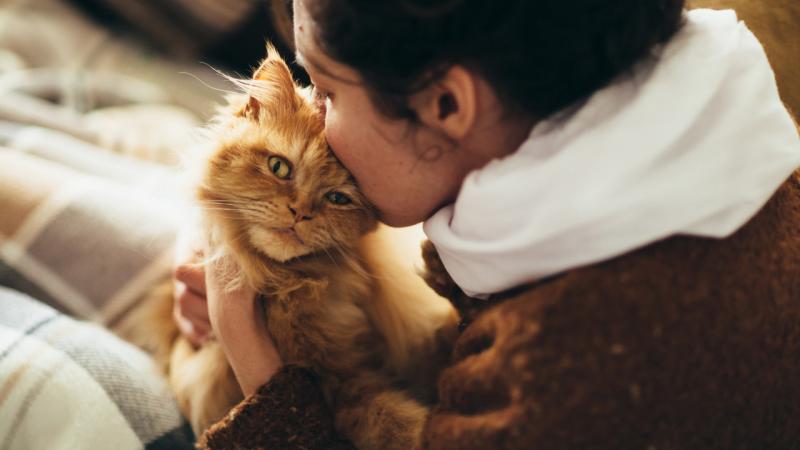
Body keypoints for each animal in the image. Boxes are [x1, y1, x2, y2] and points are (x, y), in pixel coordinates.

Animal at [119, 46, 456, 450]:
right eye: (279, 167)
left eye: (338, 198)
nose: (300, 212)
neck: (292, 289)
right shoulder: (338, 387)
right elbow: (393, 422)